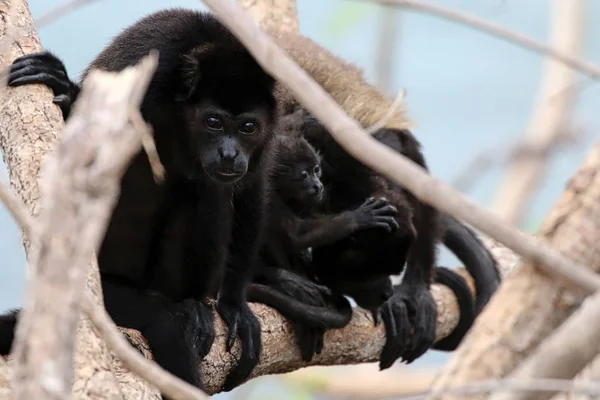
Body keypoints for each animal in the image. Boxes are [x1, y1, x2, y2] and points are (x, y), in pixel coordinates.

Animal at [3, 7, 282, 392]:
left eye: (248, 127)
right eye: (213, 122)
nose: (230, 154)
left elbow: (252, 189)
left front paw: (233, 305)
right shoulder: (150, 68)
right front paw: (64, 88)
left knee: (208, 191)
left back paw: (193, 304)